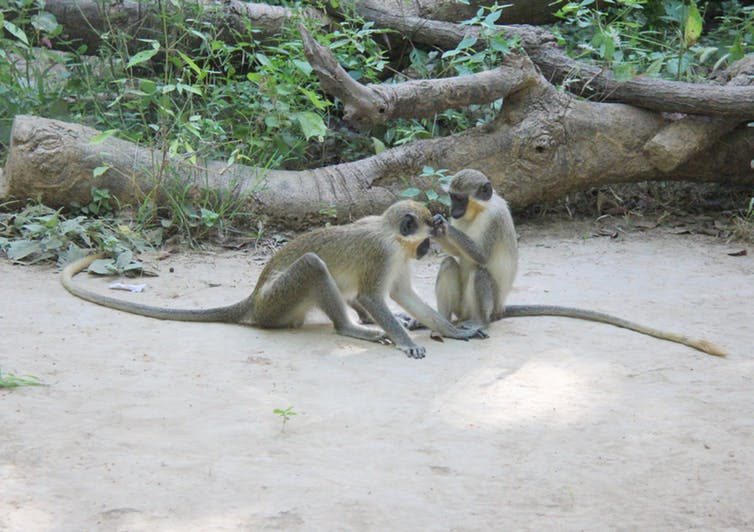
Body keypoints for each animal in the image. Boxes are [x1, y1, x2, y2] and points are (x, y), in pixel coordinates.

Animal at [64, 200, 488, 358]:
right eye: (427, 240)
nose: (428, 251)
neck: (393, 237)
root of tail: (254, 300)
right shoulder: (381, 255)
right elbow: (372, 296)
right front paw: (406, 342)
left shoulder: (396, 262)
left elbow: (404, 295)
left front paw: (453, 331)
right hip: (277, 301)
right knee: (314, 264)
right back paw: (352, 330)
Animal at [420, 168, 724, 356]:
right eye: (451, 197)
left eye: (460, 198)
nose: (452, 209)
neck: (479, 211)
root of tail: (499, 309)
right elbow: (456, 255)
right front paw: (435, 228)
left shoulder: (495, 218)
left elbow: (481, 256)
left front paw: (440, 224)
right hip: (462, 308)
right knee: (448, 264)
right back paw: (440, 323)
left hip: (485, 308)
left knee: (481, 273)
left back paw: (480, 324)